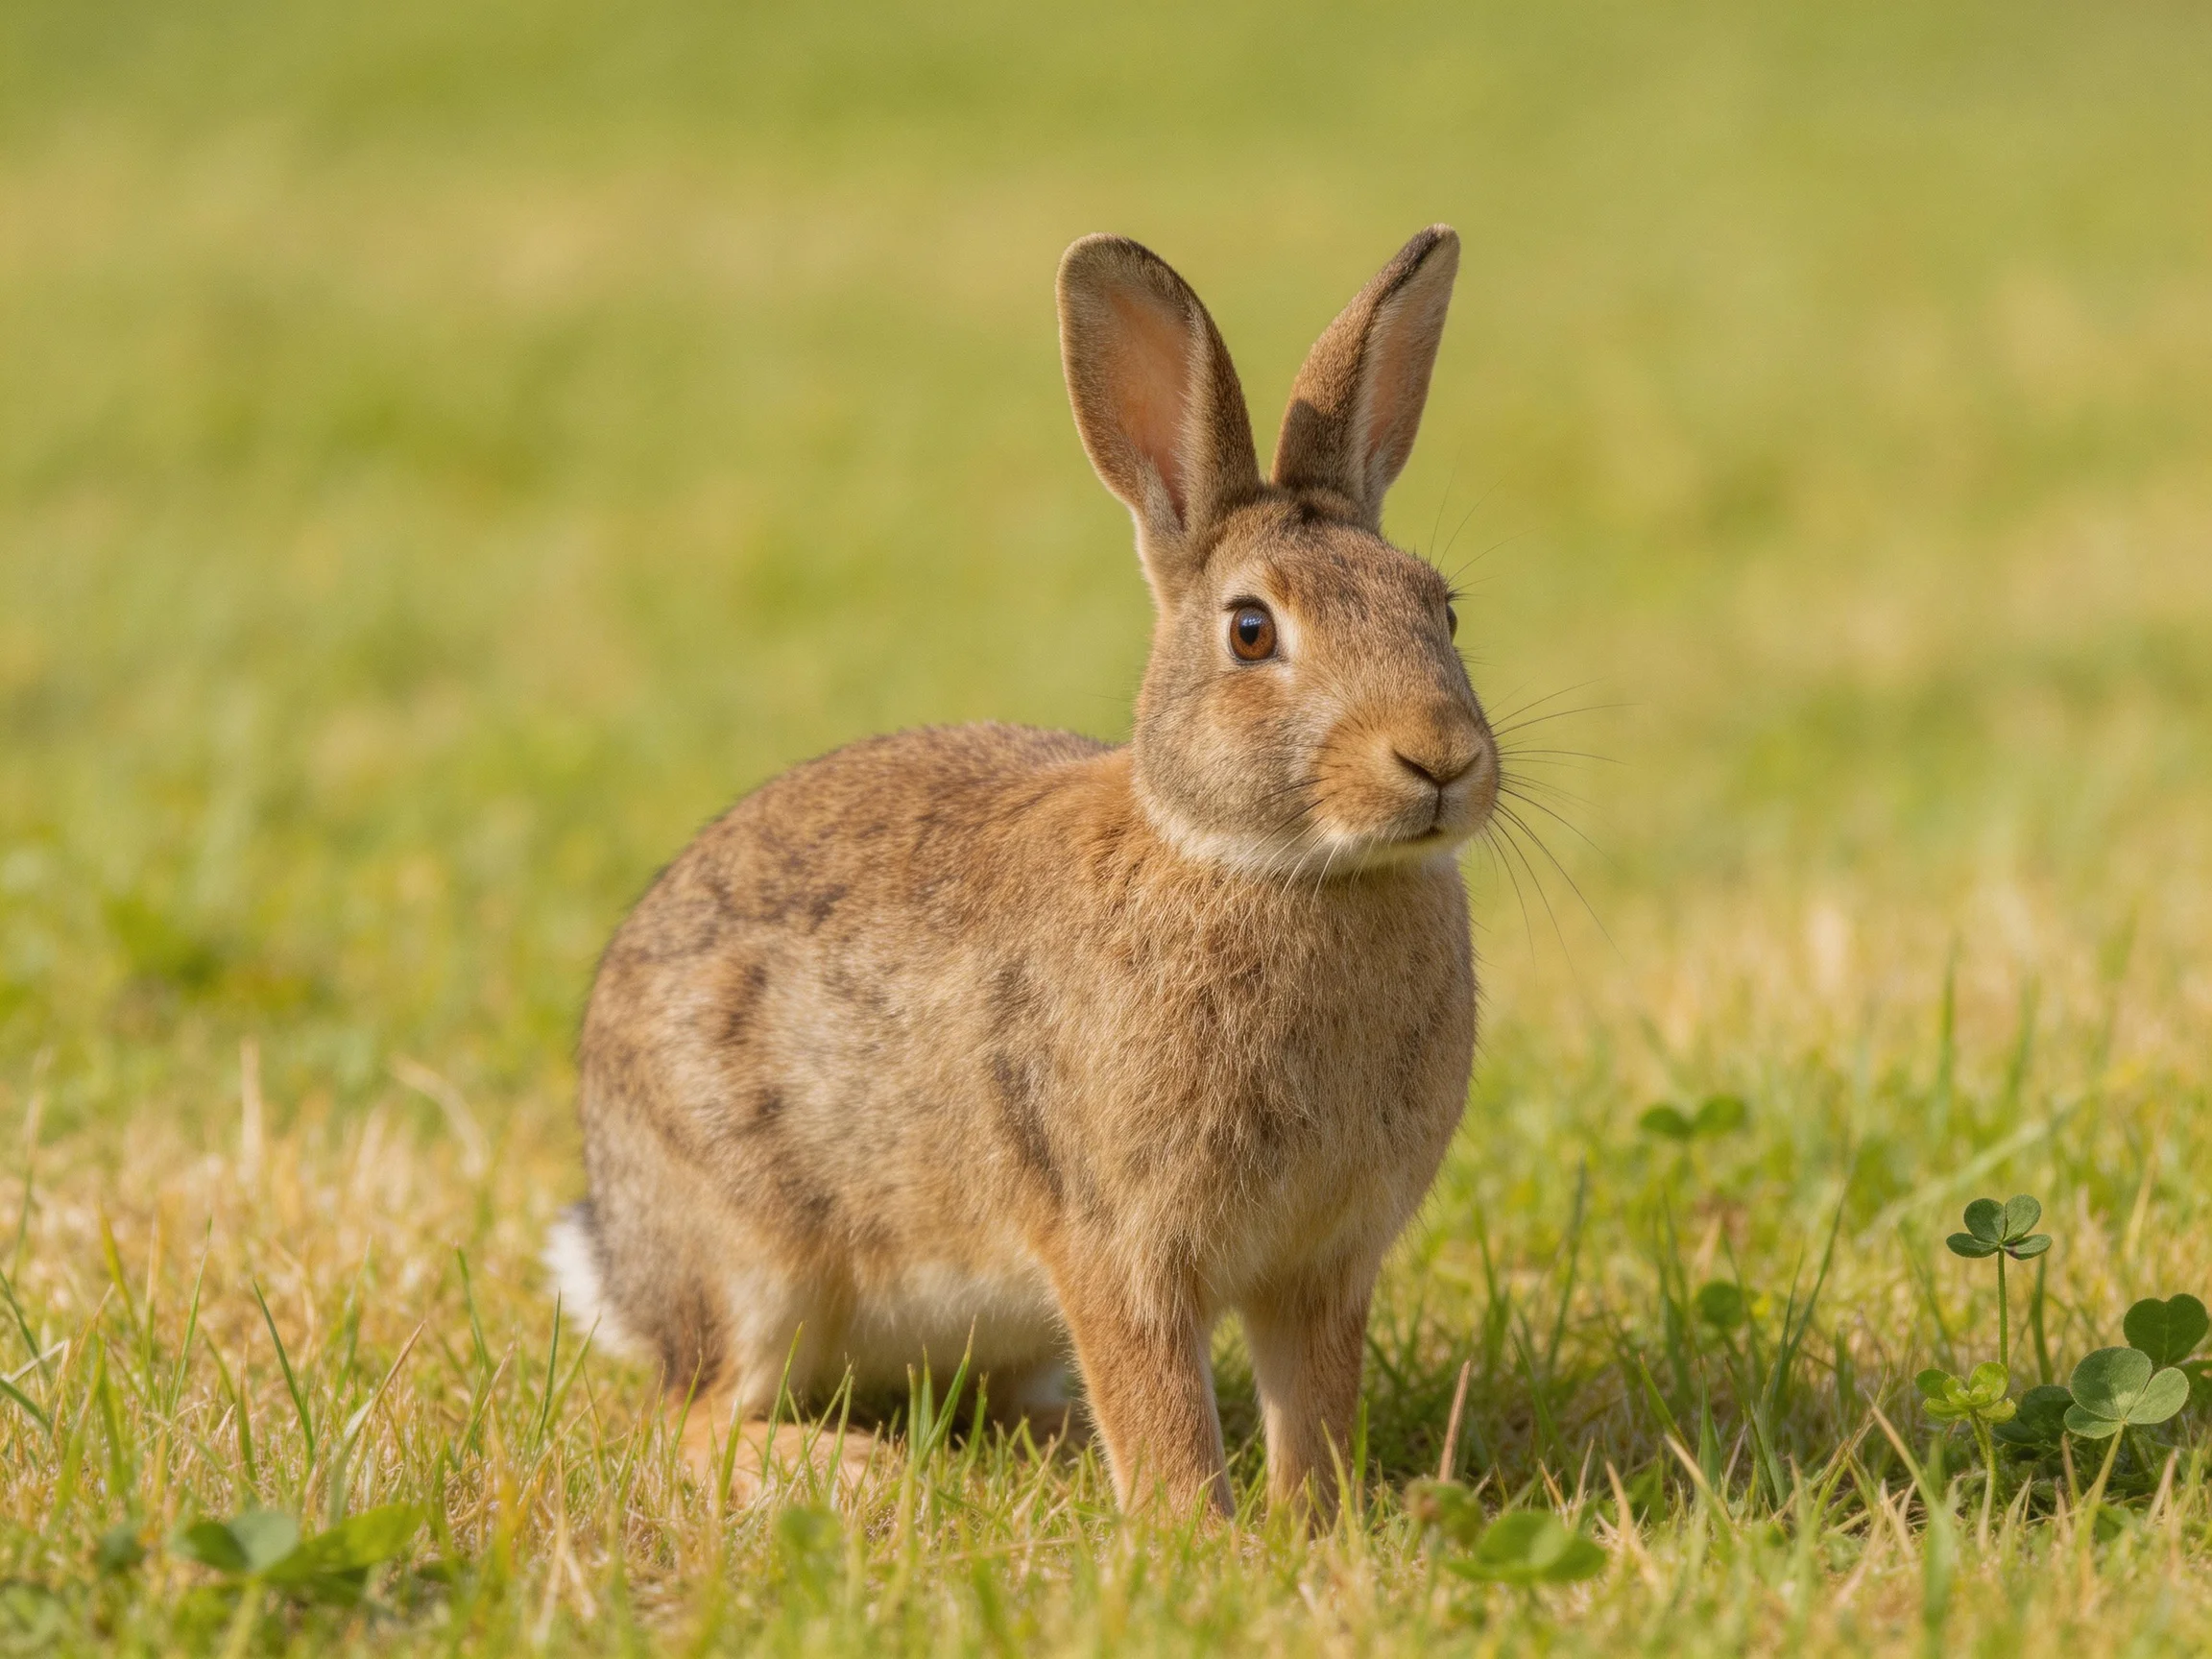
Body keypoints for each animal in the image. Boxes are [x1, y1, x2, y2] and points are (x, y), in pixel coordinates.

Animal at [547, 224, 1498, 1520]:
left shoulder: (1323, 1265)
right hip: (753, 1265)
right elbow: (1158, 1408)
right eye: (1252, 631)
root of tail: (621, 1255)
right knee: (693, 1419)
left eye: (1441, 611)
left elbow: (1314, 1412)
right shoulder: (1114, 1244)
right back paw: (857, 1472)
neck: (1281, 869)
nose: (1441, 758)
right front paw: (1198, 1535)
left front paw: (1325, 1524)